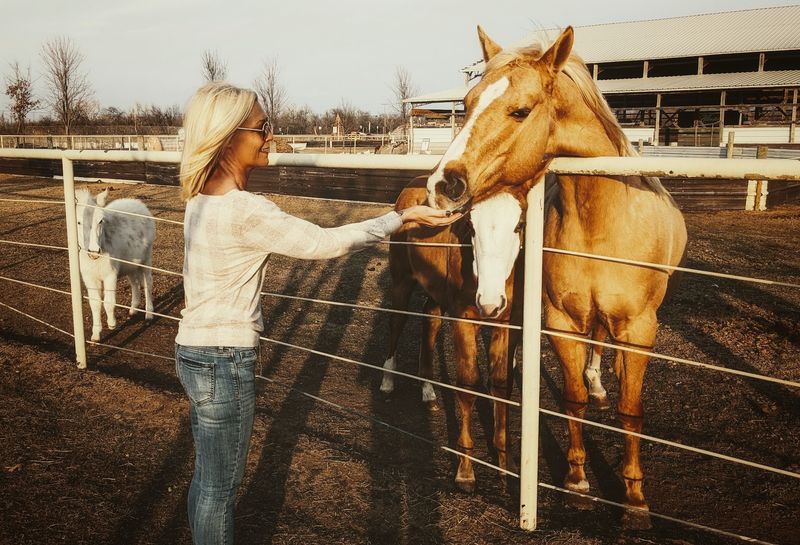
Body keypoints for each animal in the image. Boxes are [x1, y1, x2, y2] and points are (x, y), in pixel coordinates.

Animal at [75, 188, 155, 344]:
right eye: (79, 222)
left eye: (101, 221)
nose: (94, 251)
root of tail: (137, 202)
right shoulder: (89, 278)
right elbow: (95, 303)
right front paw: (96, 334)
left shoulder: (110, 275)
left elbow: (108, 302)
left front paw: (112, 323)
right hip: (130, 264)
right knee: (135, 283)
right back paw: (133, 309)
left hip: (146, 258)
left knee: (148, 283)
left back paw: (149, 313)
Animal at [380, 177, 525, 492]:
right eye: (470, 225)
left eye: (519, 225)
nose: (490, 302)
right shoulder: (464, 320)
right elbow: (468, 385)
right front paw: (465, 471)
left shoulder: (507, 324)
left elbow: (501, 385)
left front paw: (505, 466)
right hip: (401, 281)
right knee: (396, 322)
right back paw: (387, 381)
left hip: (435, 292)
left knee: (430, 320)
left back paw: (428, 391)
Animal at [425, 26, 687, 528]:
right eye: (465, 103)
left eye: (520, 110)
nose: (443, 185)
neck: (603, 222)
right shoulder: (563, 322)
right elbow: (572, 400)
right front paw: (578, 483)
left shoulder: (640, 328)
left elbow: (631, 412)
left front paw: (635, 500)